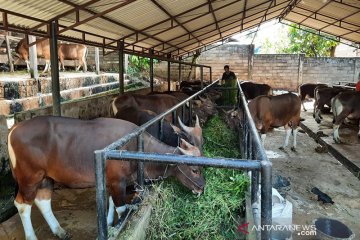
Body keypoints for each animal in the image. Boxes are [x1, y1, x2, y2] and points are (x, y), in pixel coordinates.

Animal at [8, 115, 204, 239]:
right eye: (194, 169)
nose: (202, 187)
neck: (133, 146)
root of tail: (13, 129)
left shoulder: (112, 181)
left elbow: (110, 202)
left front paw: (109, 223)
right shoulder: (118, 182)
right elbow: (122, 210)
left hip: (45, 178)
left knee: (43, 201)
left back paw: (59, 231)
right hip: (29, 178)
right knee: (22, 205)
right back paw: (32, 236)